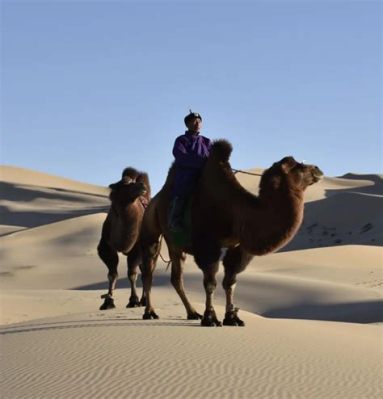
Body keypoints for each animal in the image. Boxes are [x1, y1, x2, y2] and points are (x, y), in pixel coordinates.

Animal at [98, 167, 151, 310]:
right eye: (126, 182)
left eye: (133, 181)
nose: (142, 186)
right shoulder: (106, 247)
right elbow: (112, 274)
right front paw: (108, 301)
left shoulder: (137, 248)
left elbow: (132, 274)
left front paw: (133, 300)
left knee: (146, 273)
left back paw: (144, 300)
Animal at [140, 141, 322, 328]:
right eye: (299, 166)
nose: (318, 169)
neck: (236, 212)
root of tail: (156, 198)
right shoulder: (208, 244)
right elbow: (210, 282)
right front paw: (210, 318)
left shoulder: (237, 246)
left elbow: (230, 282)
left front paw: (232, 318)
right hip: (151, 227)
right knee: (148, 271)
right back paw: (150, 312)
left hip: (176, 245)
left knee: (176, 277)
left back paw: (192, 313)